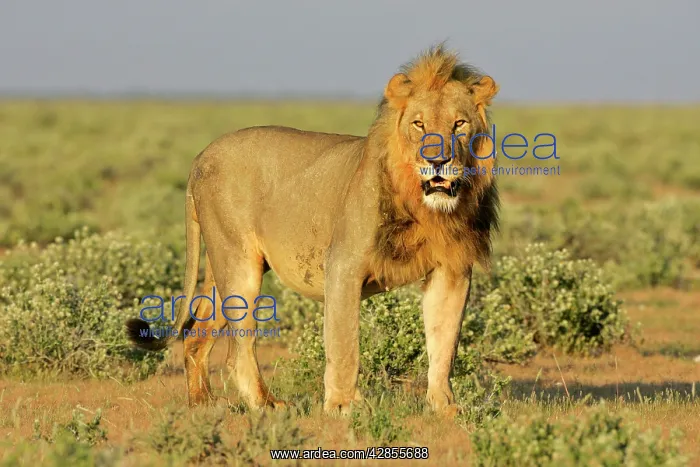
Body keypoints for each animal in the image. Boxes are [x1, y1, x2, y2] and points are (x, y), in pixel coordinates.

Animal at [126, 44, 499, 416]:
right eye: (419, 124)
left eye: (459, 124)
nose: (437, 162)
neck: (425, 208)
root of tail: (200, 157)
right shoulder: (343, 266)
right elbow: (344, 343)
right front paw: (343, 406)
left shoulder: (452, 270)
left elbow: (444, 343)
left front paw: (445, 407)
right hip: (238, 265)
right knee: (238, 352)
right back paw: (266, 404)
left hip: (222, 270)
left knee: (196, 336)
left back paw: (202, 404)